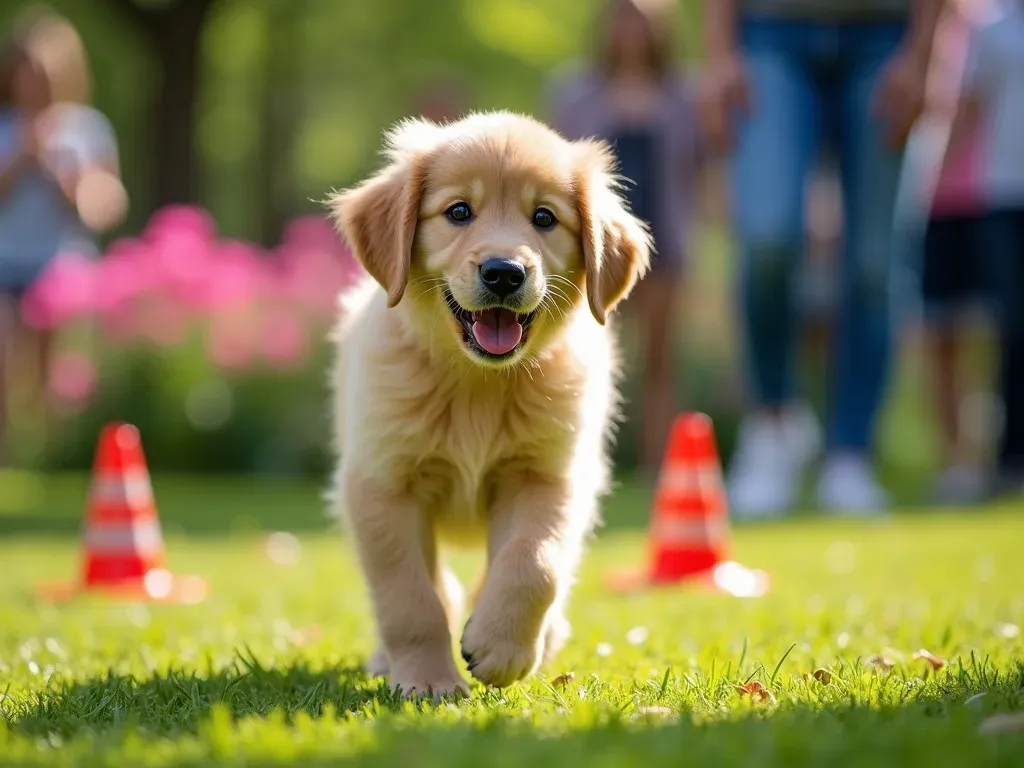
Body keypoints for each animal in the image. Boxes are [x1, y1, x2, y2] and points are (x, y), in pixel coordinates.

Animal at [325, 111, 647, 700]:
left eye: (544, 217)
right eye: (458, 212)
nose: (503, 272)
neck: (477, 381)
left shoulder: (547, 476)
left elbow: (535, 563)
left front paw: (501, 647)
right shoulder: (382, 485)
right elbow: (410, 596)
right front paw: (428, 679)